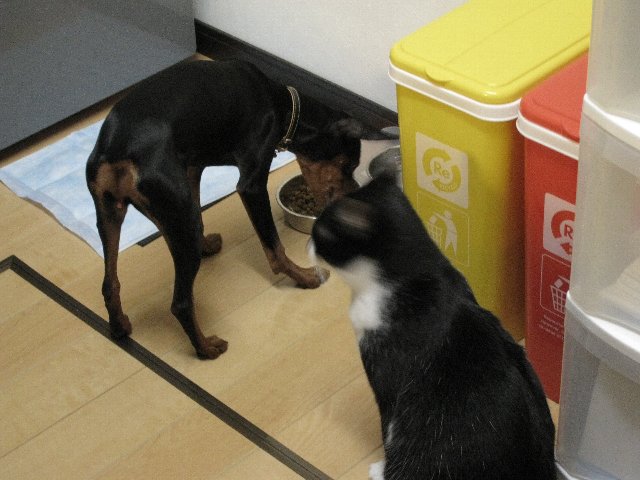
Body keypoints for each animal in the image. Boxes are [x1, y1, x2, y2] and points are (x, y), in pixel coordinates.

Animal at [86, 59, 369, 359]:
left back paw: (119, 327)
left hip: (116, 214)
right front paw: (305, 277)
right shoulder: (251, 185)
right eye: (349, 164)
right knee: (181, 303)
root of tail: (118, 150)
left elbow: (200, 208)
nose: (353, 193)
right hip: (172, 213)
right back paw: (206, 348)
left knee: (110, 283)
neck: (281, 104)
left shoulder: (192, 169)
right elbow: (275, 250)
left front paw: (207, 244)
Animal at [308, 173, 557, 480]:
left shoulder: (386, 374)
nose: (307, 244)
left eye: (320, 233)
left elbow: (387, 427)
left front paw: (382, 469)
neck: (416, 273)